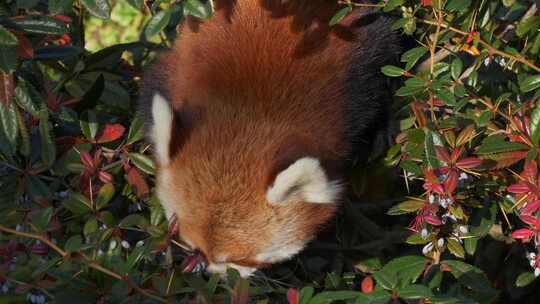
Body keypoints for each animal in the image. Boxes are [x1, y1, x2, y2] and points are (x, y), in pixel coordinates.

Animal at [139, 0, 400, 276]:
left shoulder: (355, 62)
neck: (245, 103)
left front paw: (379, 130)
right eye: (179, 231)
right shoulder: (179, 64)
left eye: (242, 259)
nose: (201, 265)